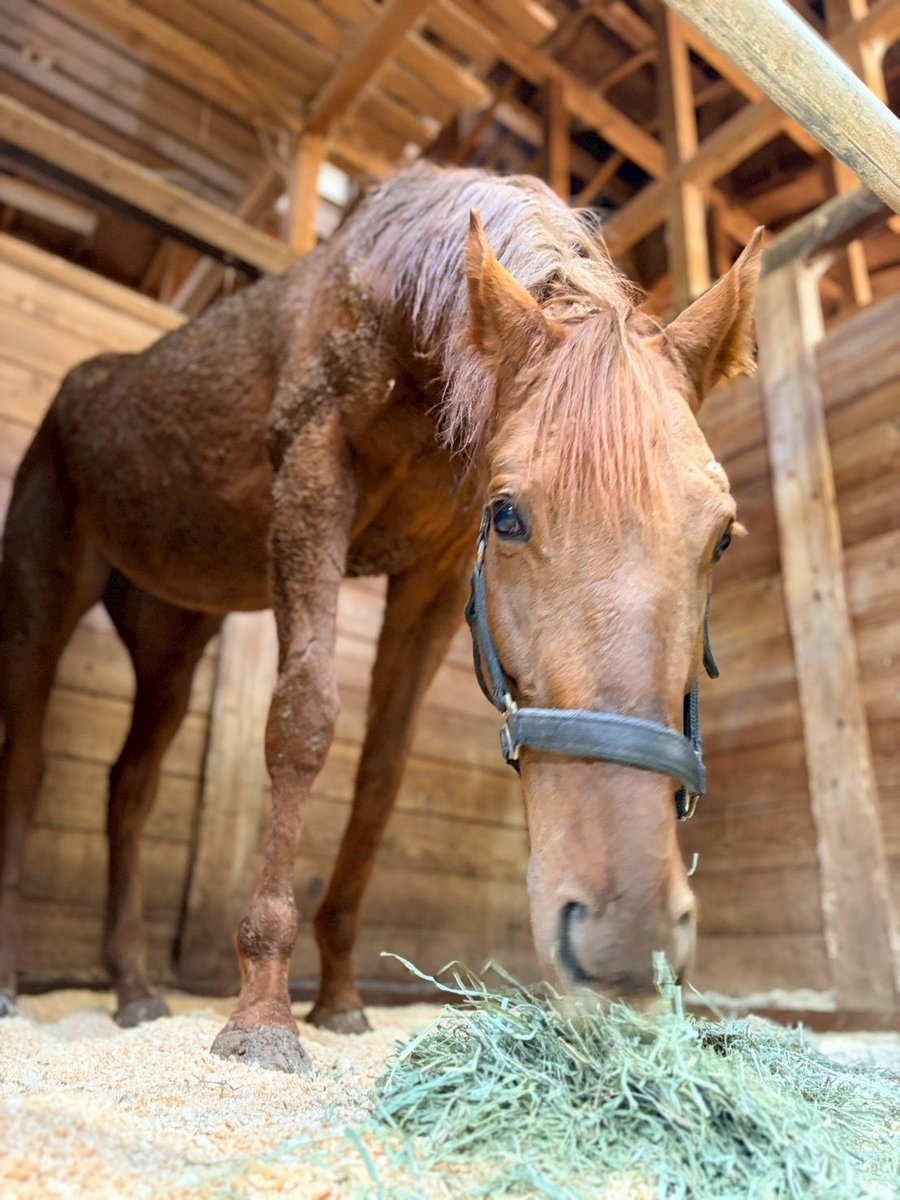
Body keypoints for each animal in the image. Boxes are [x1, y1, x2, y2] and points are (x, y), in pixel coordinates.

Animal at [0, 164, 761, 1073]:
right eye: (508, 515)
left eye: (722, 535)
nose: (627, 931)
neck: (401, 313)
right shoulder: (313, 479)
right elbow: (302, 723)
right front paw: (263, 1012)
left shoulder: (433, 576)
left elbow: (381, 773)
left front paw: (337, 997)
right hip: (43, 601)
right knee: (28, 763)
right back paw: (14, 983)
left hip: (173, 635)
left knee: (130, 788)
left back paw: (136, 990)